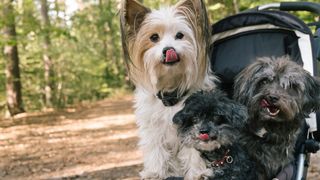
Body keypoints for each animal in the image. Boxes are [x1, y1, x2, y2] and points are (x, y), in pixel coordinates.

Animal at [120, 0, 218, 179]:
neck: (171, 96)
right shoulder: (153, 130)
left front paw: (198, 173)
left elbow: (194, 153)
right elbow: (156, 152)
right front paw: (155, 173)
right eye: (154, 38)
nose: (168, 50)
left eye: (179, 35)